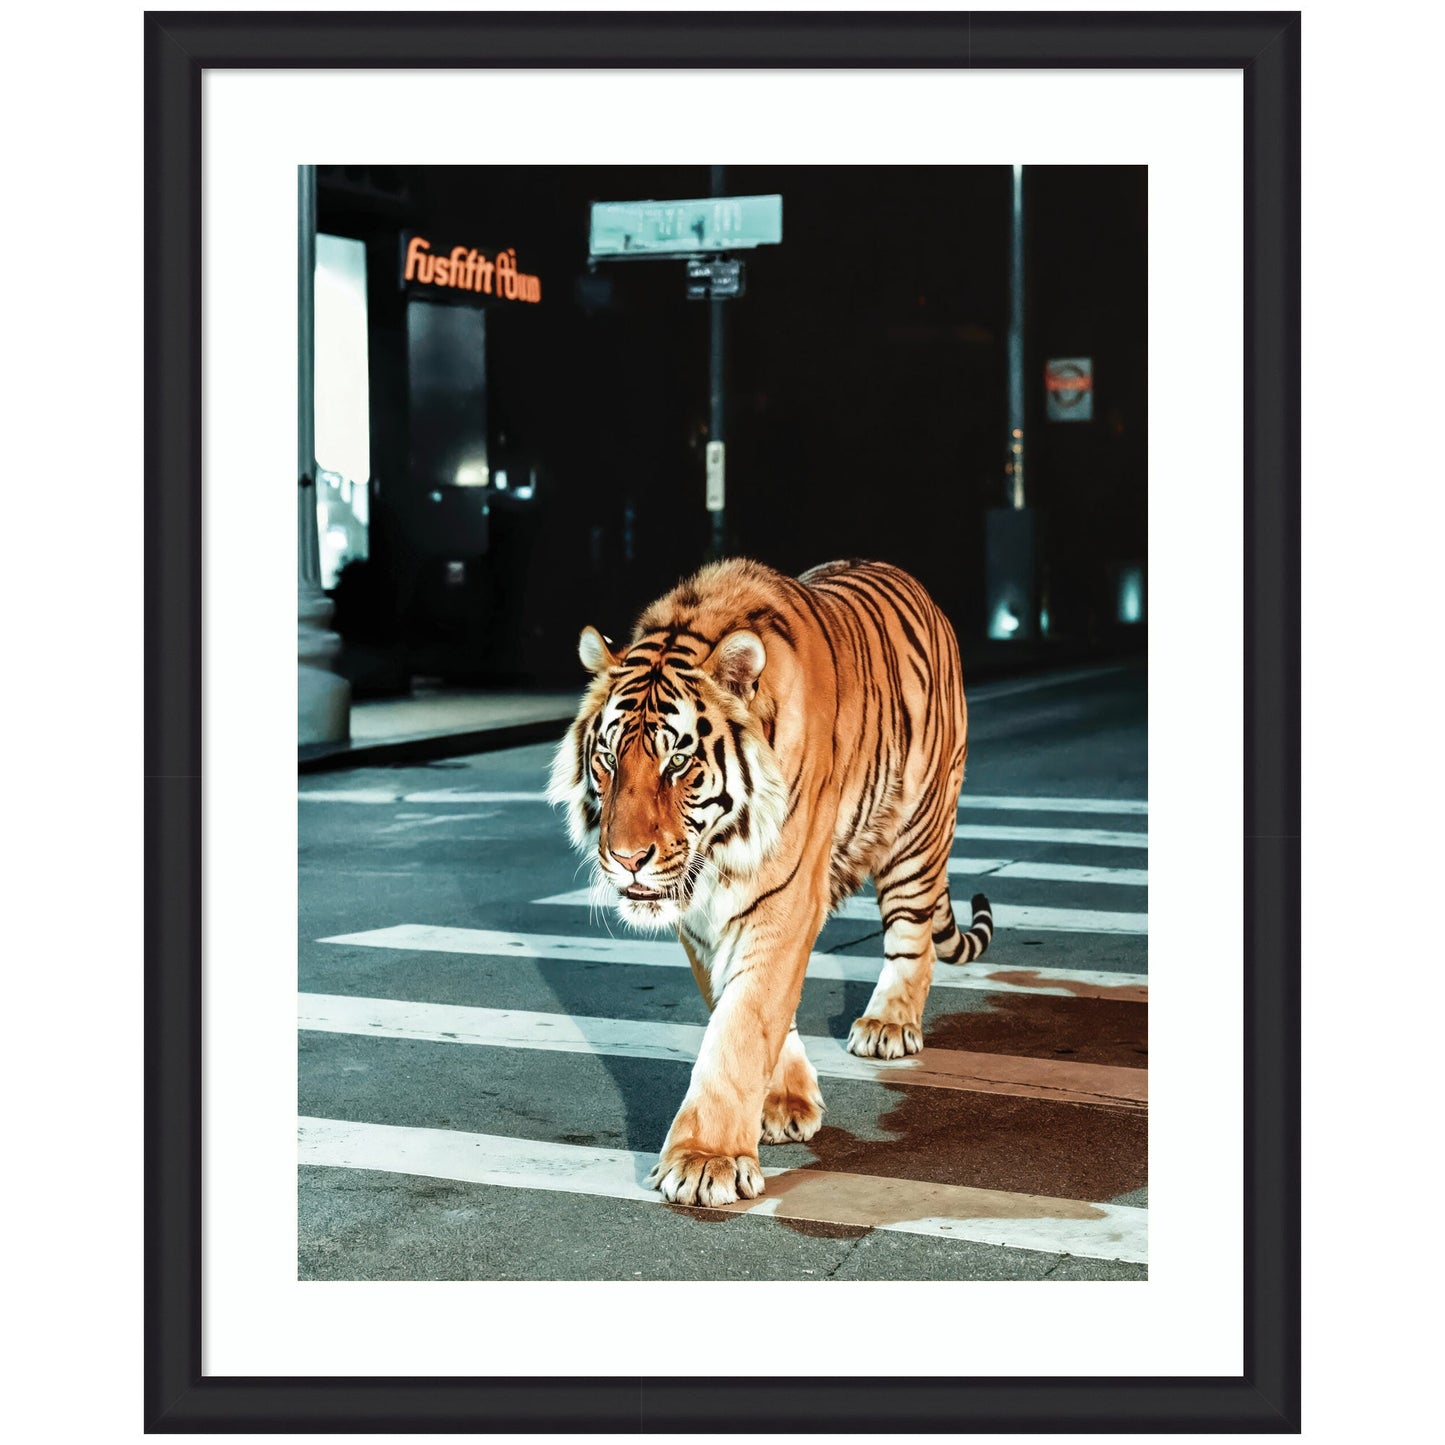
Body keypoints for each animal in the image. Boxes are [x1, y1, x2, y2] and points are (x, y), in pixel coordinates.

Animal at [549, 557, 993, 1208]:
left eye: (677, 762)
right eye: (607, 759)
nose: (627, 859)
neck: (718, 851)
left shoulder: (783, 898)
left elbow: (743, 1022)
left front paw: (704, 1160)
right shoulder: (702, 920)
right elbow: (744, 1007)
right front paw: (783, 1104)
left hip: (917, 829)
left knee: (913, 937)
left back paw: (888, 1023)